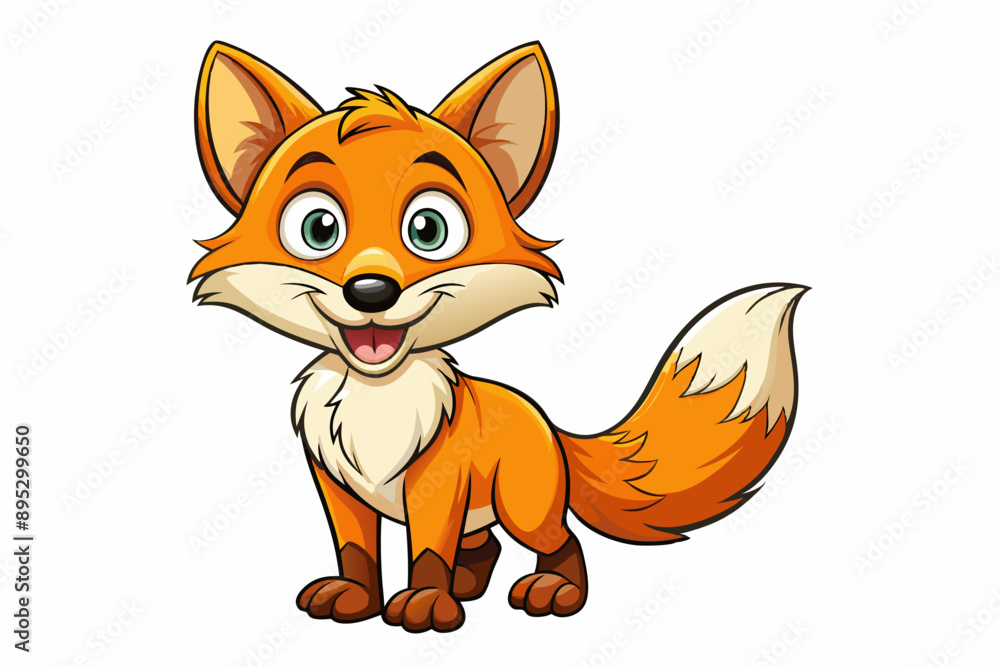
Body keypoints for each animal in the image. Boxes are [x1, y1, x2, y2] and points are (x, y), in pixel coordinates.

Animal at [189, 40, 807, 633]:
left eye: (428, 229)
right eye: (319, 228)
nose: (370, 291)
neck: (378, 402)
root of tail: (549, 423)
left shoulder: (436, 486)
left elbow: (427, 553)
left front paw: (425, 605)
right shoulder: (337, 485)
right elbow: (356, 551)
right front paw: (357, 598)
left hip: (522, 506)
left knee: (560, 541)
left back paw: (553, 592)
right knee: (484, 544)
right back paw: (469, 585)